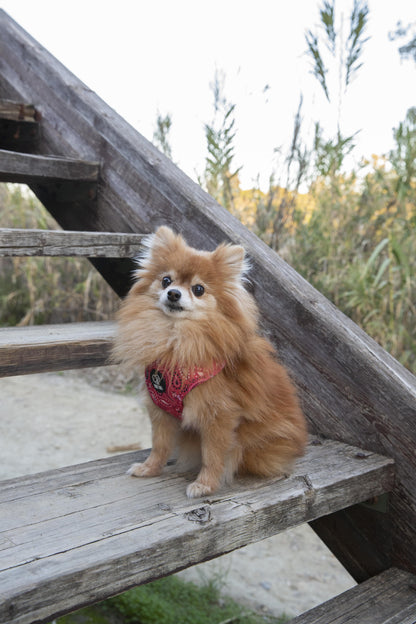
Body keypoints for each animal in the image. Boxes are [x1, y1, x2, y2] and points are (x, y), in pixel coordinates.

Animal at [113, 227, 306, 500]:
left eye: (198, 289)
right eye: (166, 281)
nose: (173, 293)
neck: (176, 339)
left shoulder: (218, 416)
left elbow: (213, 455)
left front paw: (205, 485)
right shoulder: (160, 409)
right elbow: (159, 446)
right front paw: (149, 469)